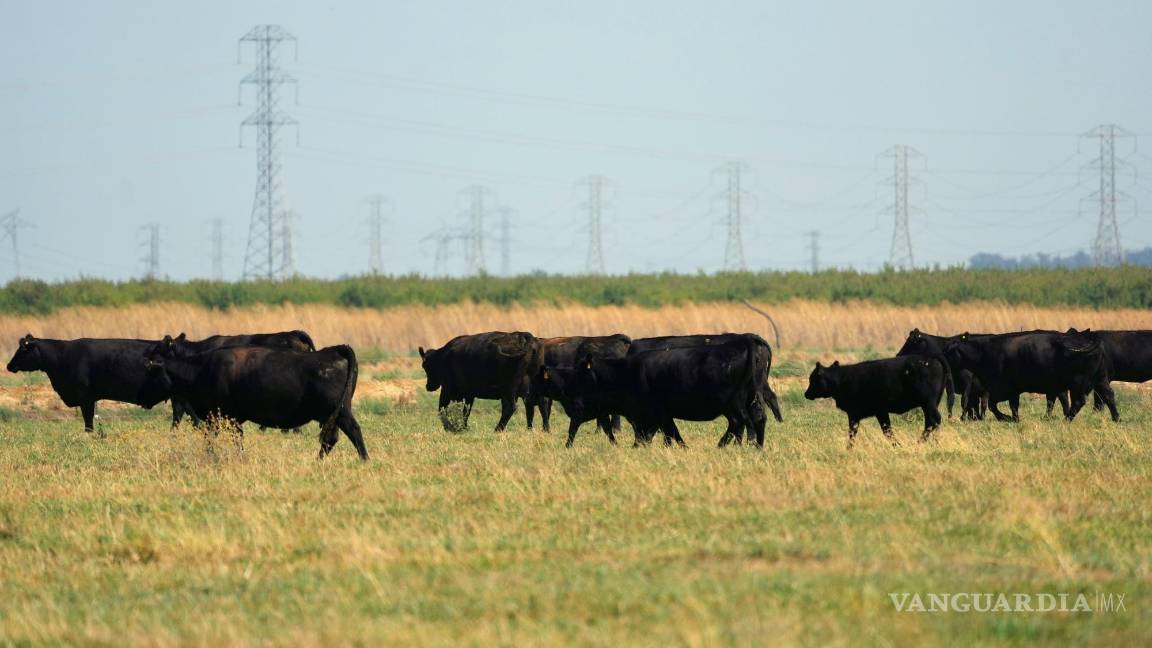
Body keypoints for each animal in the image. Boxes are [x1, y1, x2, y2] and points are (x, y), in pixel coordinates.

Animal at [143, 344, 366, 460]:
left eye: (150, 371)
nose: (143, 399)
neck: (201, 369)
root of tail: (334, 350)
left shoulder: (221, 416)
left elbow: (219, 439)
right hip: (333, 415)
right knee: (331, 439)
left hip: (341, 412)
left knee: (353, 432)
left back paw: (364, 460)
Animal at [540, 338, 767, 448]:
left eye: (581, 377)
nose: (574, 407)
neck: (625, 372)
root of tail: (739, 344)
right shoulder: (657, 415)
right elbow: (660, 434)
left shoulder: (655, 412)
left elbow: (660, 434)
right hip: (750, 398)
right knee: (757, 419)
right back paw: (756, 447)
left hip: (732, 403)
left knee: (740, 422)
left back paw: (724, 446)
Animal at [804, 355, 953, 448]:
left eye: (813, 379)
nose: (806, 394)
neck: (842, 379)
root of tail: (932, 358)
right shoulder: (880, 412)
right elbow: (887, 430)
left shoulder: (855, 414)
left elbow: (854, 432)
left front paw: (849, 449)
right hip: (929, 404)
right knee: (930, 422)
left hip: (928, 403)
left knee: (935, 420)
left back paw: (925, 442)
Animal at [944, 331, 1117, 422]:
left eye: (949, 351)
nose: (941, 358)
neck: (986, 352)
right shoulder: (1009, 391)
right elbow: (1012, 406)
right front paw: (1013, 418)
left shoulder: (1003, 389)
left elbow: (994, 405)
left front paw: (1007, 418)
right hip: (1100, 379)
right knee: (1108, 396)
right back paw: (1116, 418)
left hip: (1078, 382)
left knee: (1079, 401)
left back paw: (1066, 419)